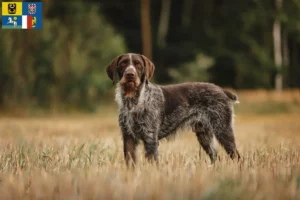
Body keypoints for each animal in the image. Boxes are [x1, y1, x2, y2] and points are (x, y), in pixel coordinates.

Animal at [106, 52, 240, 166]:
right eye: (123, 63)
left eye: (138, 64)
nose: (130, 75)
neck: (133, 102)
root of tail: (222, 90)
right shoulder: (128, 138)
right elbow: (130, 163)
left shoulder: (150, 138)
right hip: (205, 135)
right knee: (215, 156)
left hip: (223, 130)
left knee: (236, 156)